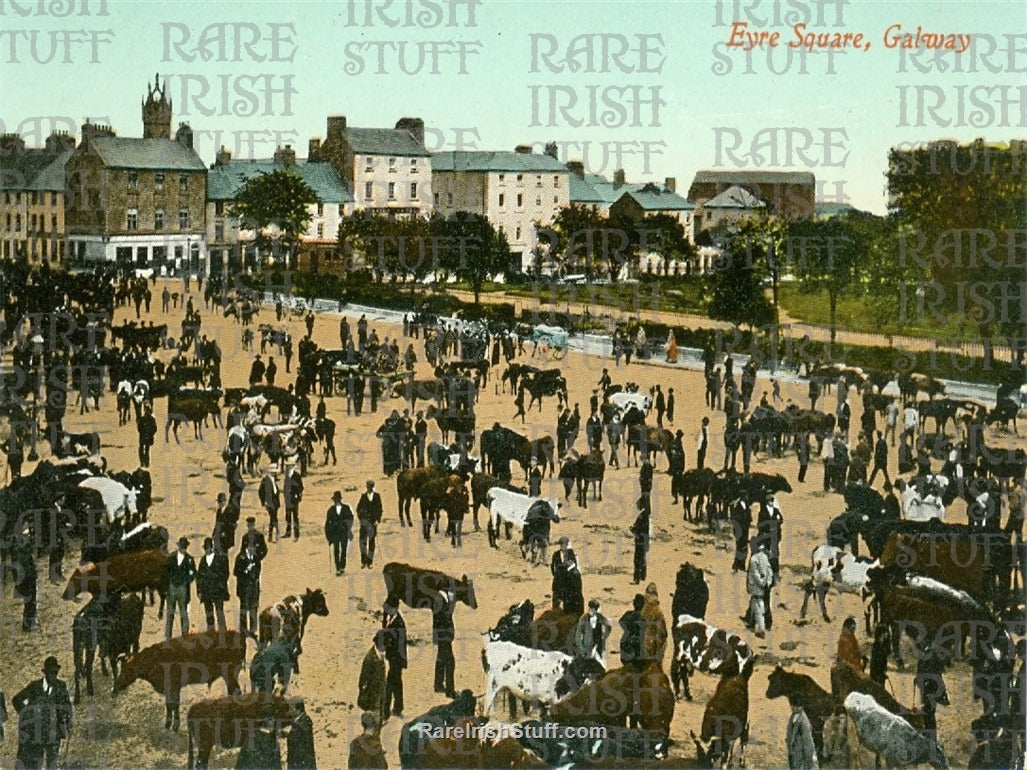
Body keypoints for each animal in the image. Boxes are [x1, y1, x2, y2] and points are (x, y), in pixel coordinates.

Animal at [113, 628, 247, 730]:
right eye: (121, 669)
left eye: (127, 670)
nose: (116, 687)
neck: (154, 660)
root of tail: (238, 635)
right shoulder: (169, 689)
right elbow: (169, 705)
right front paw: (168, 725)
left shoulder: (174, 687)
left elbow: (174, 705)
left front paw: (174, 726)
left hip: (230, 674)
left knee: (236, 692)